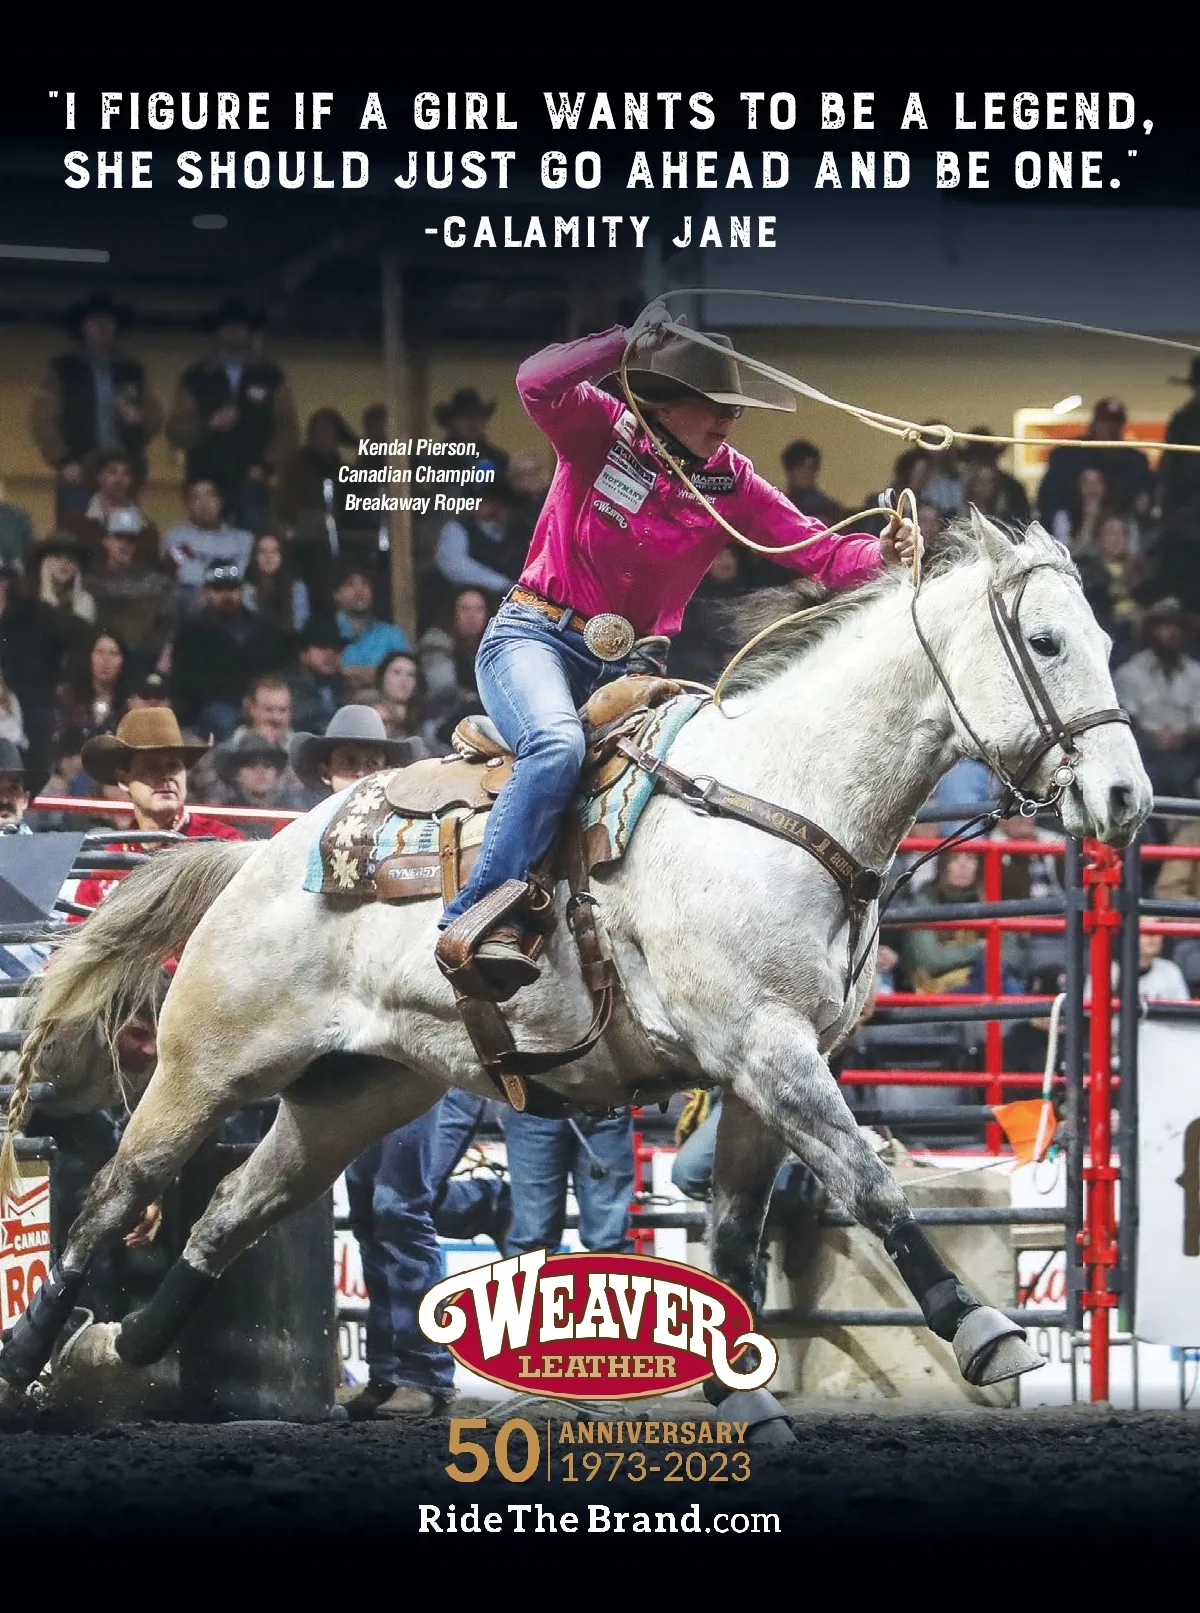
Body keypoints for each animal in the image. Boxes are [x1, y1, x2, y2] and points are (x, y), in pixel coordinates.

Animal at [0, 514, 1152, 1421]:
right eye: (1045, 640)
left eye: (1105, 639)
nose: (1129, 797)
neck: (779, 797)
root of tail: (257, 858)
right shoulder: (769, 1050)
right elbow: (871, 1184)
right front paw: (982, 1327)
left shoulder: (763, 1075)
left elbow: (736, 1241)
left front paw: (745, 1399)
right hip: (206, 1065)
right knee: (114, 1197)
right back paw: (30, 1360)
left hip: (354, 1093)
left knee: (233, 1207)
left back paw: (132, 1345)